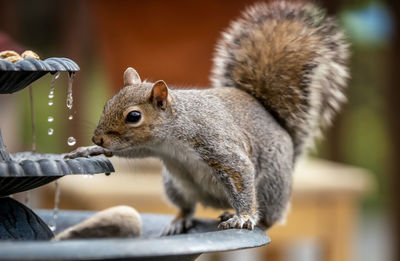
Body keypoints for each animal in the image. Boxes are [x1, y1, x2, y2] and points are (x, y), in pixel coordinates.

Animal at [65, 1, 346, 234]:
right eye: (107, 104)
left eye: (134, 116)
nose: (98, 138)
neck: (172, 133)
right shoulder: (147, 146)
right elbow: (130, 151)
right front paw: (88, 151)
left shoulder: (213, 141)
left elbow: (239, 172)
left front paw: (244, 216)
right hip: (176, 185)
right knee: (188, 207)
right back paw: (181, 220)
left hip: (271, 186)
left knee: (269, 217)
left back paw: (244, 217)